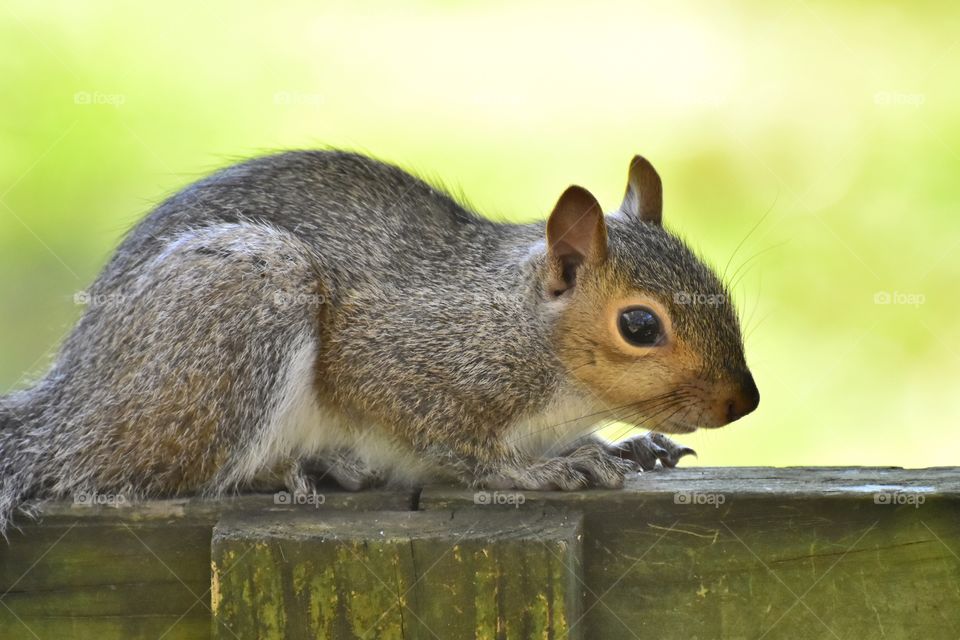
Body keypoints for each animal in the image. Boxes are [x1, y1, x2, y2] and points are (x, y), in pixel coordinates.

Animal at [0, 149, 760, 528]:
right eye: (639, 325)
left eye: (719, 290)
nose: (743, 403)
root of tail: (70, 407)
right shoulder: (398, 359)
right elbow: (454, 444)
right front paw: (531, 471)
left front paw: (625, 446)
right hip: (231, 323)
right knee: (158, 473)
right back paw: (300, 468)